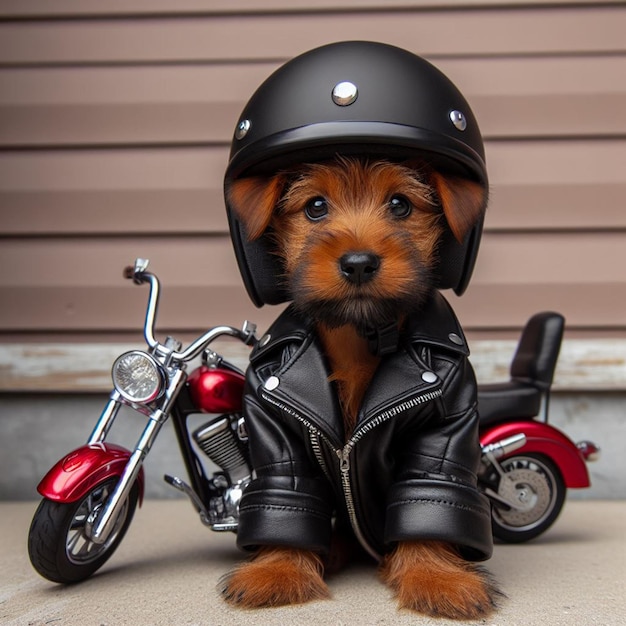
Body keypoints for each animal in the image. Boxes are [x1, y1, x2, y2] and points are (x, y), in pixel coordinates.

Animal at [219, 158, 498, 616]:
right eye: (315, 207)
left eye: (400, 205)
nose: (359, 263)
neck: (358, 335)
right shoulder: (275, 430)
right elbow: (288, 490)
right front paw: (278, 568)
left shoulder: (444, 429)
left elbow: (427, 492)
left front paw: (435, 575)